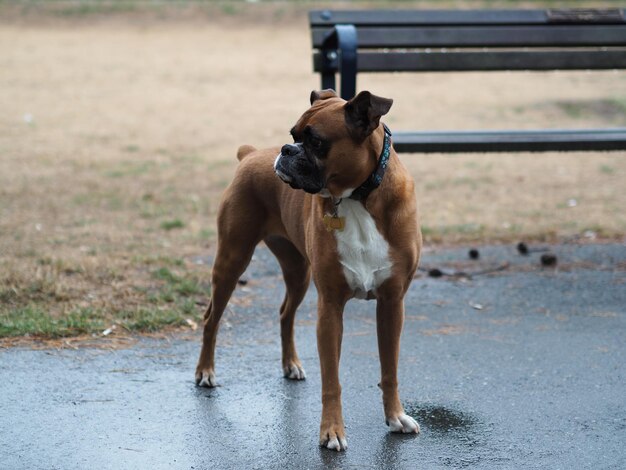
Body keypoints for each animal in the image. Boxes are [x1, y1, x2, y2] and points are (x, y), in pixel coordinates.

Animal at [194, 89, 420, 452]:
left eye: (315, 142)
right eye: (293, 135)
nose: (287, 150)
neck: (359, 197)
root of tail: (251, 154)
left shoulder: (392, 304)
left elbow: (390, 369)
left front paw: (395, 417)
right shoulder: (330, 309)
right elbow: (332, 380)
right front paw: (332, 431)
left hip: (297, 272)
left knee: (285, 313)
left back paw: (291, 365)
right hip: (231, 261)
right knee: (210, 319)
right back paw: (205, 372)